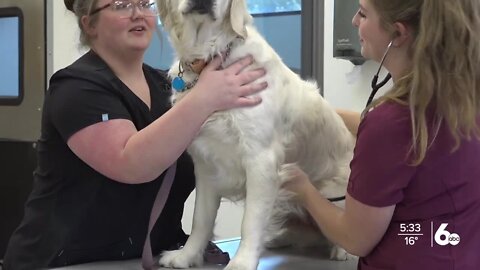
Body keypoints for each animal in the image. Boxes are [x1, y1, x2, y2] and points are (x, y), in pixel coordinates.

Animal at [156, 1, 354, 268]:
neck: (211, 59)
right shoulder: (207, 165)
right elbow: (200, 219)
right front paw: (186, 255)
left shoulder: (262, 160)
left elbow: (250, 221)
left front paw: (242, 261)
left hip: (333, 193)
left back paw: (341, 249)